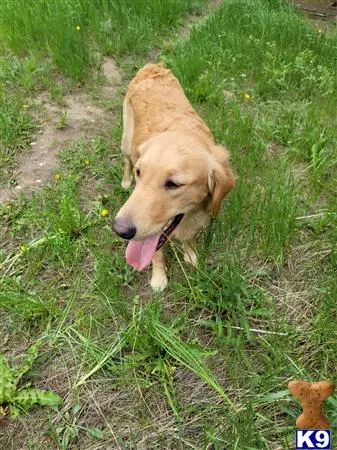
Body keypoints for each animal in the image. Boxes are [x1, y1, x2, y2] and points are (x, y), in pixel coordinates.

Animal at [113, 65, 234, 294]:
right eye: (140, 173)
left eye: (173, 184)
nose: (119, 229)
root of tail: (153, 66)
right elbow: (156, 252)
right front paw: (159, 278)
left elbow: (189, 238)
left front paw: (190, 254)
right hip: (127, 140)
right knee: (125, 158)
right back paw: (124, 181)